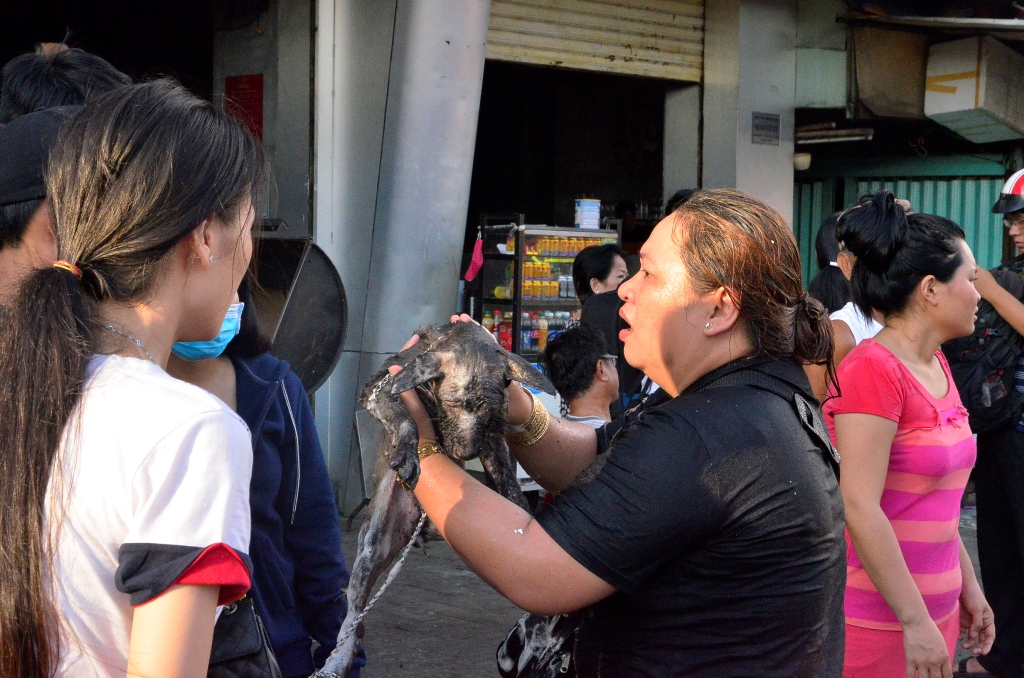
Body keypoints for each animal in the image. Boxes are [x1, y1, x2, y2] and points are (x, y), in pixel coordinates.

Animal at [321, 323, 557, 675]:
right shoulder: (381, 390)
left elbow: (507, 479)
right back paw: (336, 660)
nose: (467, 454)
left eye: (490, 410)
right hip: (372, 547)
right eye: (454, 403)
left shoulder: (495, 434)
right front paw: (408, 452)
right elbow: (406, 419)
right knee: (354, 618)